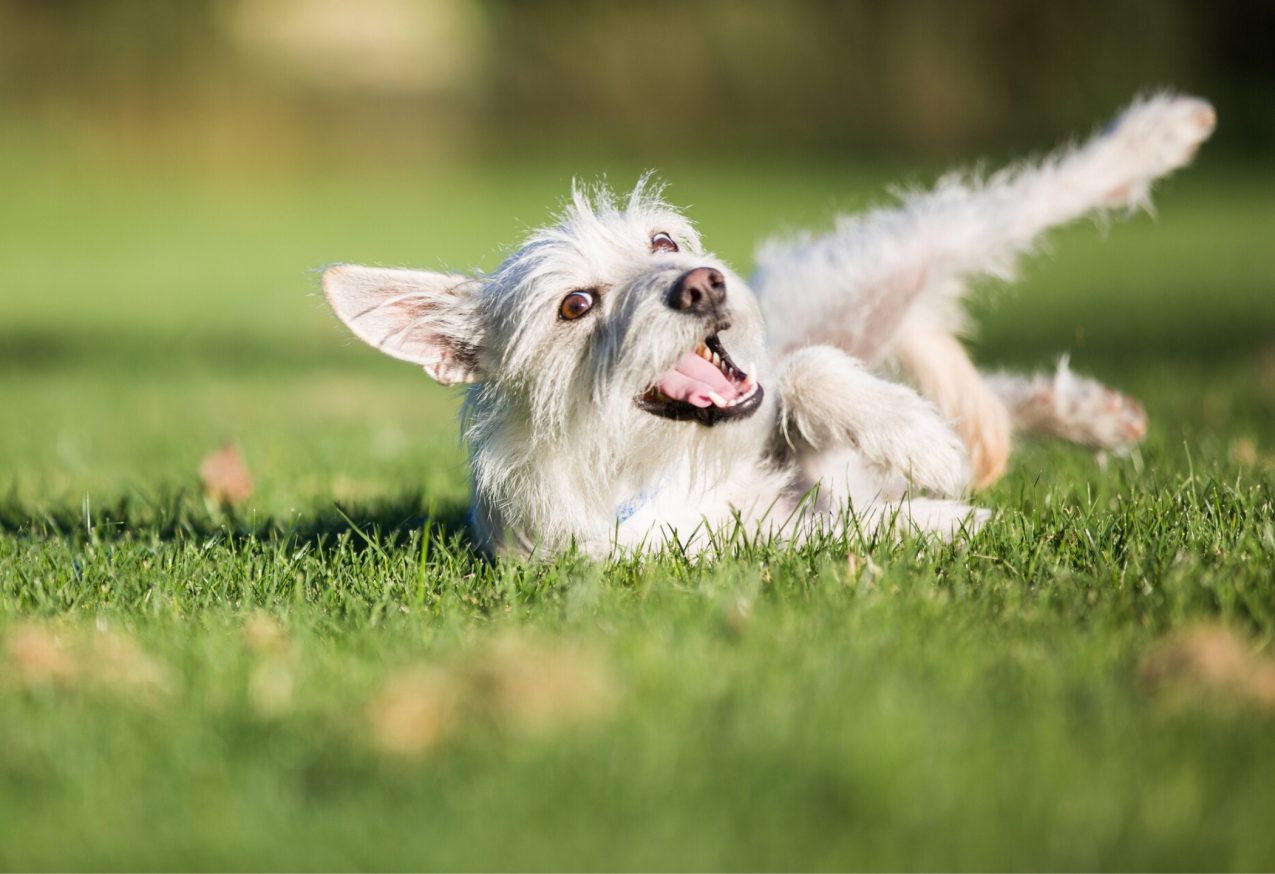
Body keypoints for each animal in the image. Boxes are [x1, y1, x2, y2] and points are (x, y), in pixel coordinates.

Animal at [321, 91, 1213, 556]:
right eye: (575, 305)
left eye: (661, 241)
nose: (701, 283)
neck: (652, 465)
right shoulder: (740, 546)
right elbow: (851, 526)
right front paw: (950, 517)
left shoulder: (772, 402)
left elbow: (807, 374)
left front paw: (918, 444)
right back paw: (1083, 415)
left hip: (896, 256)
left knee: (1028, 199)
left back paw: (1156, 132)